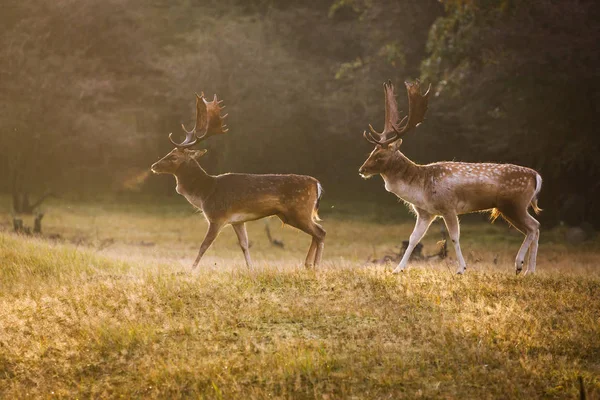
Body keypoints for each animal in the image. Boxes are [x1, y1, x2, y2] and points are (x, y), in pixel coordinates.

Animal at [152, 92, 326, 270]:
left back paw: (315, 266)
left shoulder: (217, 217)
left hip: (299, 210)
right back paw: (309, 265)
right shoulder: (237, 221)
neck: (205, 192)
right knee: (317, 232)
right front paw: (251, 270)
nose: (154, 166)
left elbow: (204, 246)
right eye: (169, 152)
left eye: (174, 157)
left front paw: (191, 270)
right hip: (292, 215)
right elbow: (244, 244)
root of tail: (317, 184)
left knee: (321, 232)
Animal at [358, 81, 540, 276]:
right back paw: (529, 270)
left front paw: (461, 268)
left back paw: (520, 265)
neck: (420, 187)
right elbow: (413, 238)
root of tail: (536, 176)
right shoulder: (425, 213)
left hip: (514, 204)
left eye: (380, 156)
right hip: (512, 206)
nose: (362, 170)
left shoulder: (448, 206)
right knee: (534, 227)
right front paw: (397, 269)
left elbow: (454, 237)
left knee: (533, 227)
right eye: (371, 152)